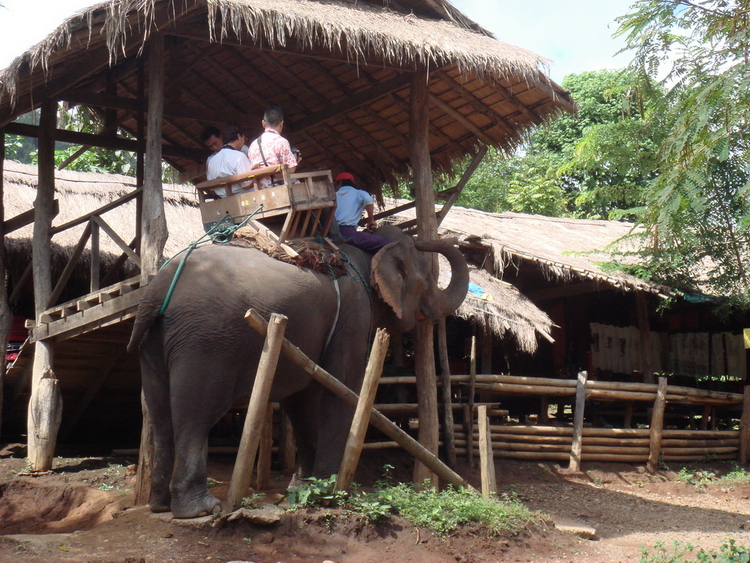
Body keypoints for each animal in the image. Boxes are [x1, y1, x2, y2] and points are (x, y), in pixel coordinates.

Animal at [129, 225, 470, 520]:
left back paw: (159, 505)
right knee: (195, 415)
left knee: (160, 414)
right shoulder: (353, 314)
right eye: (428, 279)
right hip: (205, 342)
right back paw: (200, 509)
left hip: (155, 344)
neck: (363, 254)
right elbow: (340, 385)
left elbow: (302, 397)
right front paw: (331, 493)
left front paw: (304, 488)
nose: (430, 239)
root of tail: (156, 290)